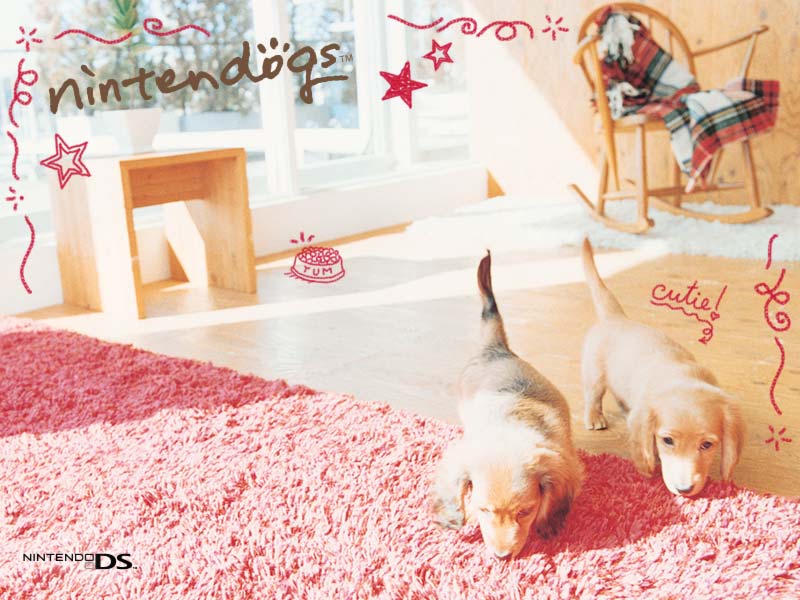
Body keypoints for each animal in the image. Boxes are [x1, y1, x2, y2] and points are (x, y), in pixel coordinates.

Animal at [580, 238, 744, 496]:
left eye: (707, 444)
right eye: (667, 441)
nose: (684, 489)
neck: (682, 376)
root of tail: (615, 318)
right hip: (594, 374)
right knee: (593, 397)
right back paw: (594, 417)